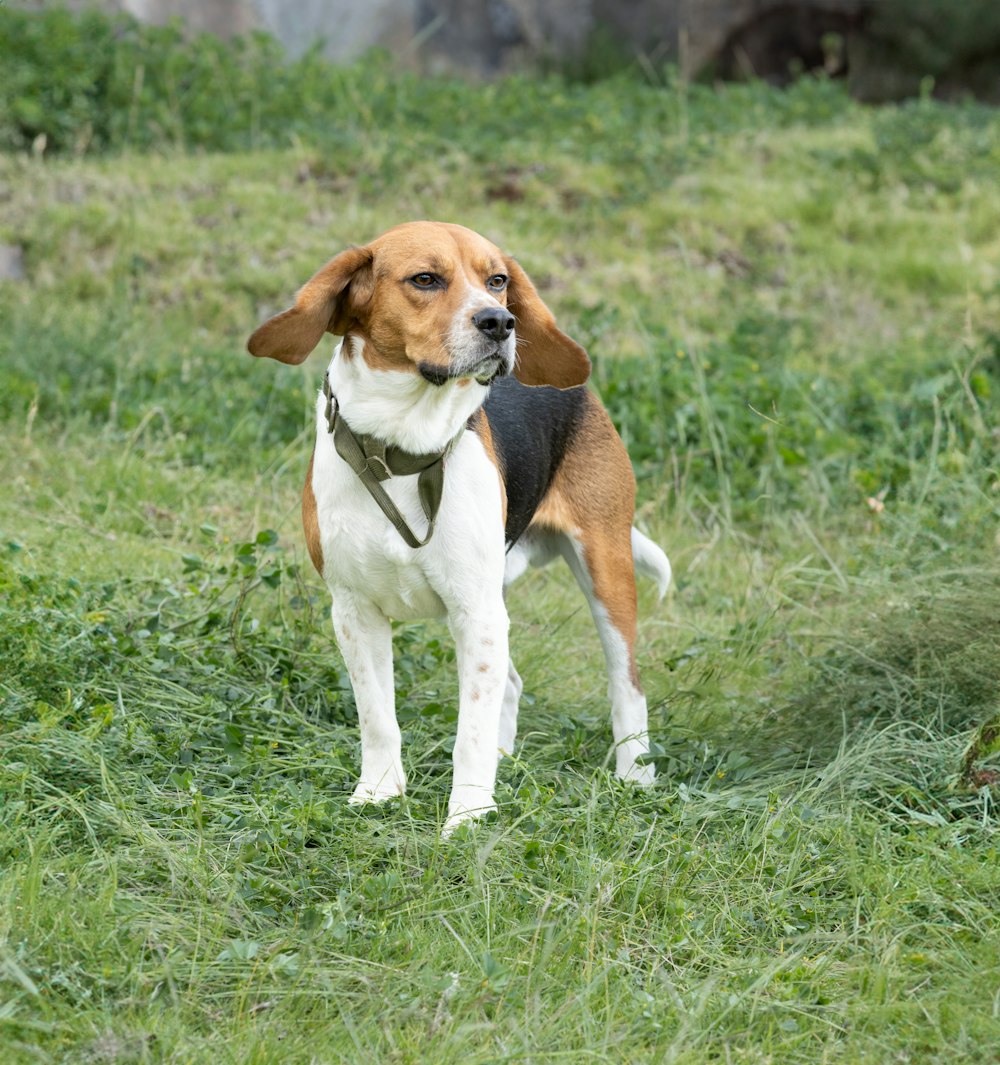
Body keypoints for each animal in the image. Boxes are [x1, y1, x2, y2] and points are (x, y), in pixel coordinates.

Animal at [249, 218, 673, 830]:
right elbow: (377, 717)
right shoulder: (354, 612)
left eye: (497, 280)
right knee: (511, 684)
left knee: (627, 683)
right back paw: (505, 762)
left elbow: (467, 730)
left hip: (604, 568)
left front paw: (469, 816)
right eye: (425, 279)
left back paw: (634, 778)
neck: (403, 445)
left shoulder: (475, 612)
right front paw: (378, 793)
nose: (500, 322)